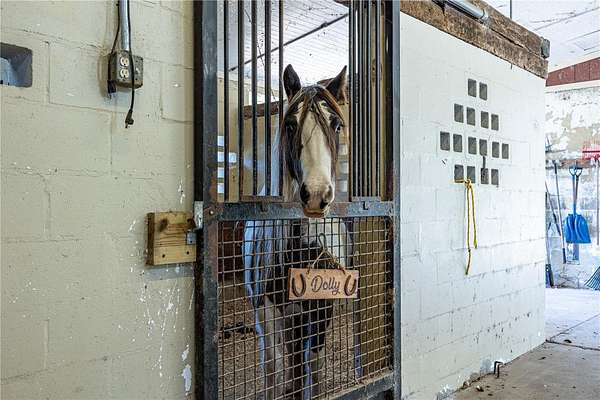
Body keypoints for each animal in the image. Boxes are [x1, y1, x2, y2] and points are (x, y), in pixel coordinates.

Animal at [243, 64, 353, 399]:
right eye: (291, 125)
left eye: (336, 125)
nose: (316, 195)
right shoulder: (266, 308)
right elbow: (271, 366)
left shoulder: (320, 306)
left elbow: (312, 366)